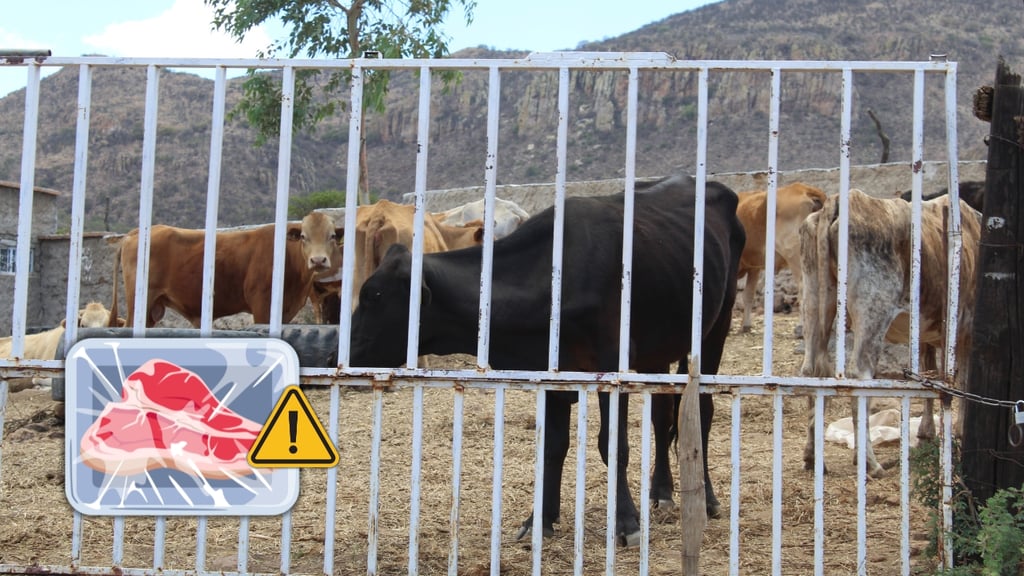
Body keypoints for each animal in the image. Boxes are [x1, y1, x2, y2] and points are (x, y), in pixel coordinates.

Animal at [111, 211, 342, 327]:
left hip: (152, 309)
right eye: (304, 236)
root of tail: (135, 233)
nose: (318, 260)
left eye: (331, 236)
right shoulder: (261, 304)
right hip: (139, 303)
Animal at [349, 174, 745, 546]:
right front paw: (540, 520)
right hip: (658, 348)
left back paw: (708, 500)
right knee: (662, 415)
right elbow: (554, 445)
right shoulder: (553, 370)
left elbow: (612, 444)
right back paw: (661, 492)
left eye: (375, 297)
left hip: (718, 322)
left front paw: (625, 523)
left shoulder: (611, 362)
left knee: (702, 412)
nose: (343, 350)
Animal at [735, 182, 826, 333]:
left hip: (794, 256)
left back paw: (801, 327)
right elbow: (748, 294)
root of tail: (805, 189)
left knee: (803, 288)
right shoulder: (754, 267)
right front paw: (746, 325)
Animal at [799, 188, 981, 477]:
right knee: (858, 376)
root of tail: (839, 201)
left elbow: (929, 374)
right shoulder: (965, 330)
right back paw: (870, 463)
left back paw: (812, 457)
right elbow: (960, 381)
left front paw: (927, 432)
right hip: (873, 311)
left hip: (814, 302)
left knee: (811, 372)